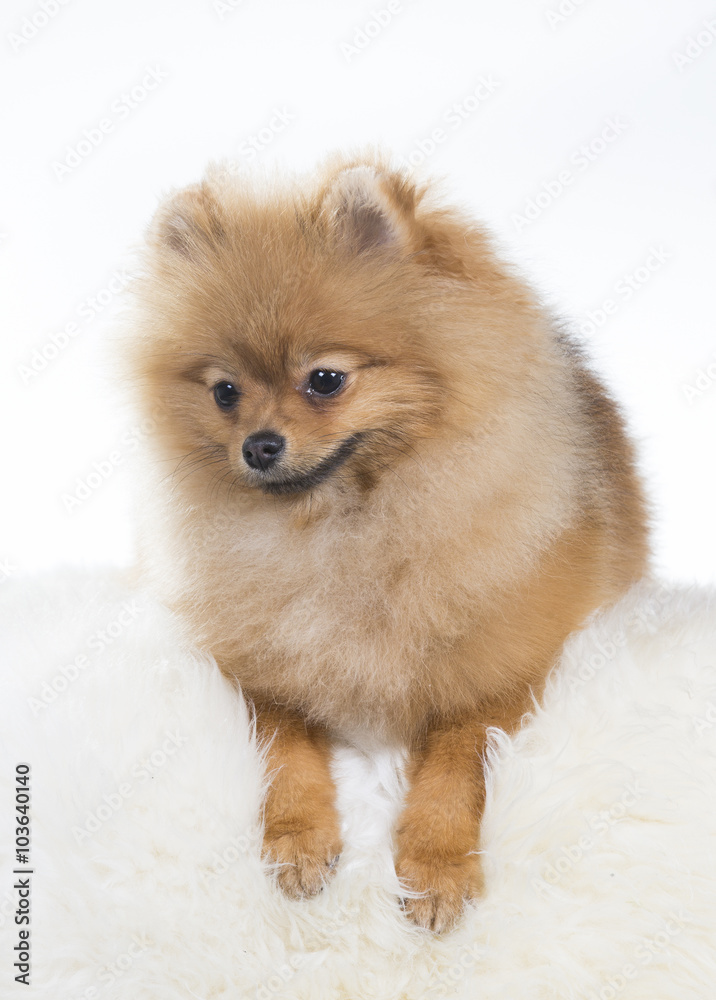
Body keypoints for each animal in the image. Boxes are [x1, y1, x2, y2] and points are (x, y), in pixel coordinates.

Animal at [126, 152, 652, 932]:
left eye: (325, 380)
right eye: (225, 392)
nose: (258, 445)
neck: (343, 528)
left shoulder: (496, 676)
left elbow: (456, 771)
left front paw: (435, 869)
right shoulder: (264, 673)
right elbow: (285, 749)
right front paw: (298, 840)